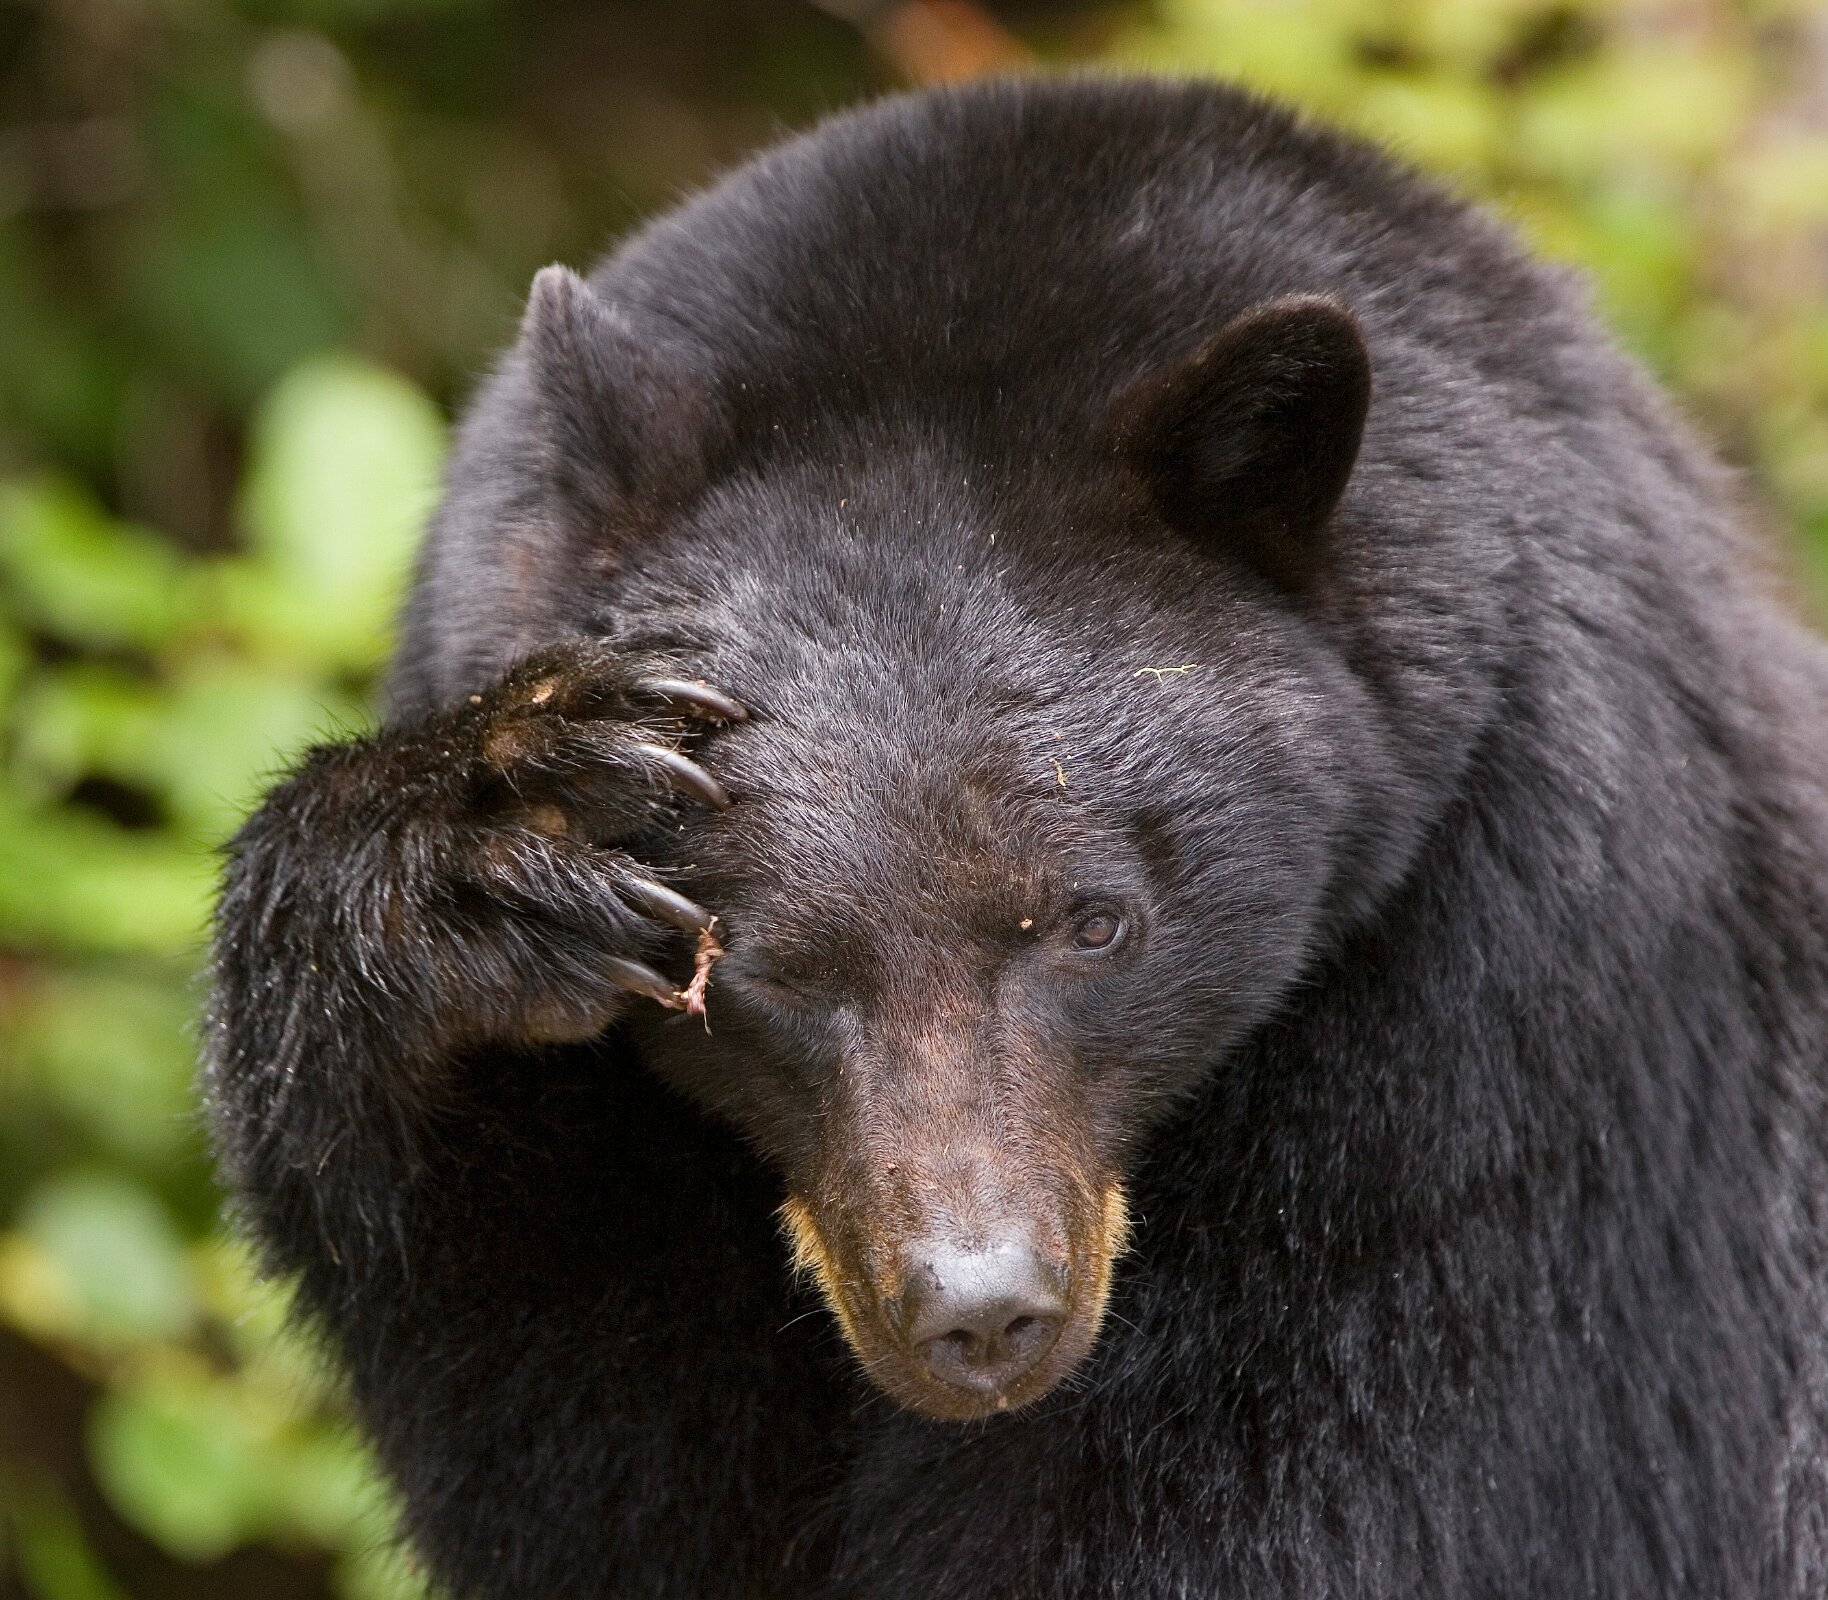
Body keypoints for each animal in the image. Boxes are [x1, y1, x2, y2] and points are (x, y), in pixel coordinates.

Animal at [203, 74, 1828, 1600]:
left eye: (1095, 920)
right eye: (755, 969)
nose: (979, 1311)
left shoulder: (1511, 1031)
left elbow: (1337, 1476)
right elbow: (606, 1455)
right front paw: (483, 855)